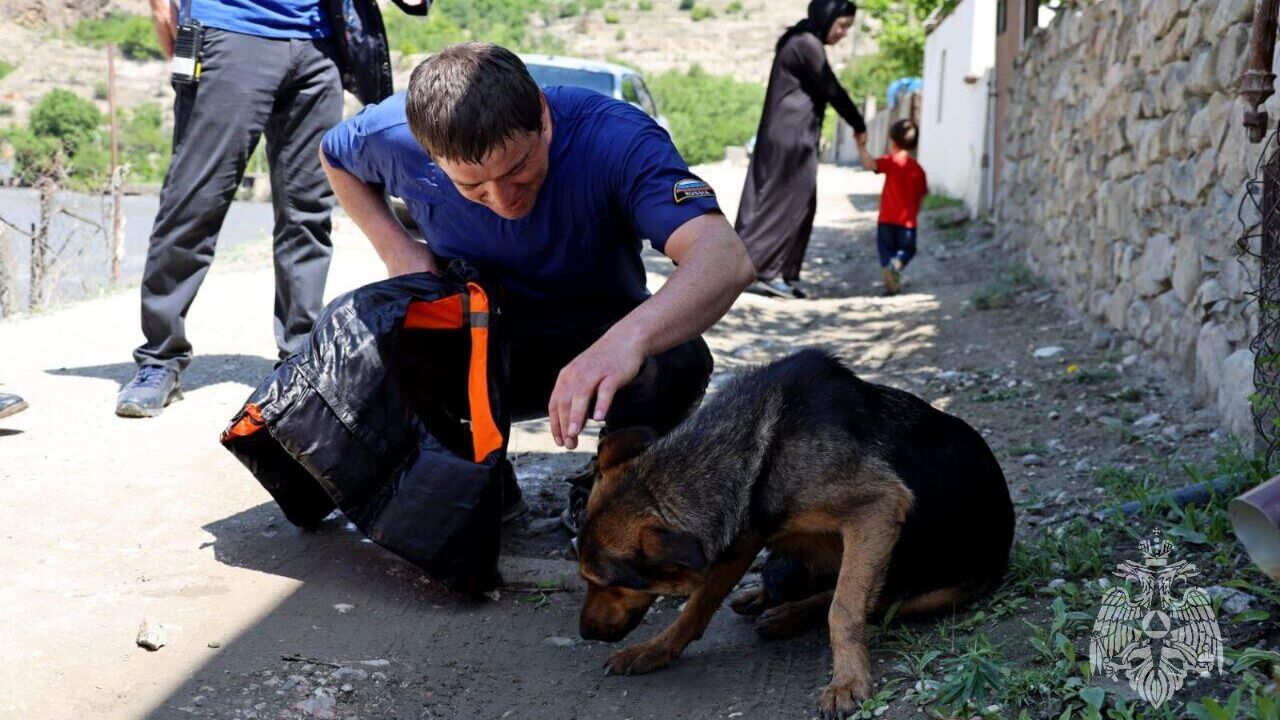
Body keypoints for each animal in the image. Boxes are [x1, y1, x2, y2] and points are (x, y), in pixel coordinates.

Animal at [578, 345, 1008, 712]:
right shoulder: (742, 535)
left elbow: (844, 609)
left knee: (868, 599)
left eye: (612, 584)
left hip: (932, 592)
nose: (584, 634)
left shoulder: (878, 508)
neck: (760, 447)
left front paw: (847, 681)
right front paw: (655, 649)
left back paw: (787, 615)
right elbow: (698, 604)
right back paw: (765, 600)